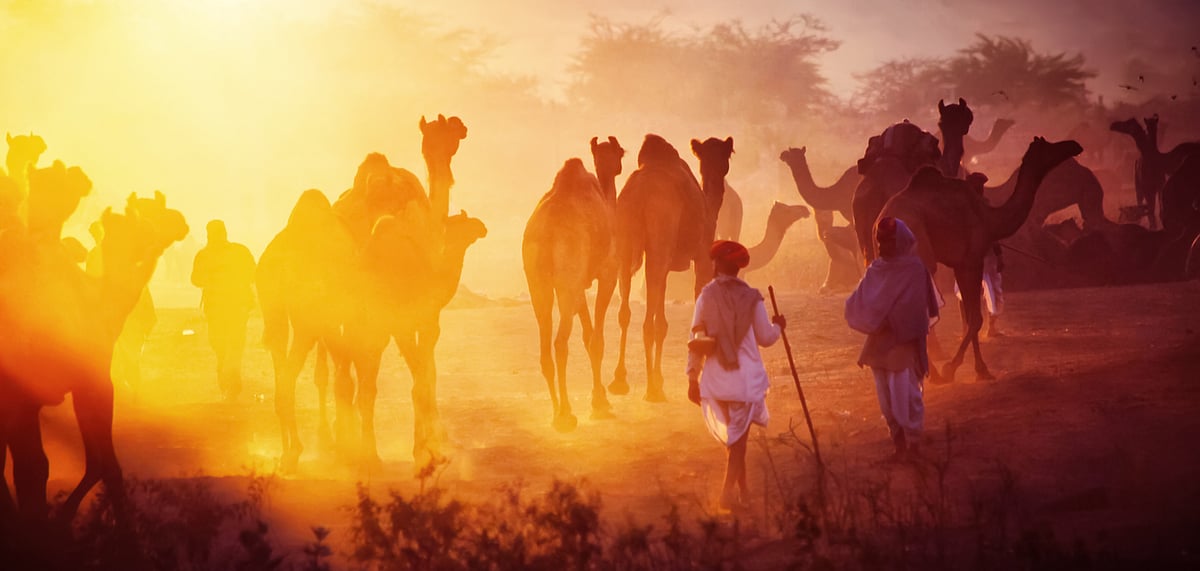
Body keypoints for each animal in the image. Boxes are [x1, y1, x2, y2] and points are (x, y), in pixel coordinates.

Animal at [613, 135, 727, 402]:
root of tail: (639, 193)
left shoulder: (665, 265)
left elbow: (662, 323)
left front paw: (661, 380)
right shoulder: (702, 255)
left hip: (625, 242)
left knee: (625, 310)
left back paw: (621, 380)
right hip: (660, 233)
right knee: (646, 320)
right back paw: (651, 389)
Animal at [878, 137, 1082, 382]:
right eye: (1048, 146)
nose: (1074, 145)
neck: (990, 217)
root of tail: (885, 218)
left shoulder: (960, 263)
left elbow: (969, 316)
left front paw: (981, 370)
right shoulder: (972, 260)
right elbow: (975, 318)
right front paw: (952, 368)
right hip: (919, 250)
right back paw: (933, 375)